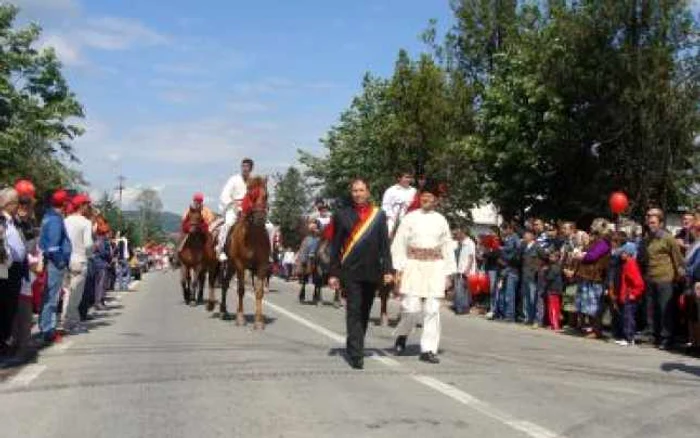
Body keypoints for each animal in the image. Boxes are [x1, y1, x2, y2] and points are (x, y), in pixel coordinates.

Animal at [221, 177, 270, 328]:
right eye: (250, 195)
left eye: (266, 195)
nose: (260, 217)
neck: (252, 238)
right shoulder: (240, 264)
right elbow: (241, 289)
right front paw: (240, 317)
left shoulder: (262, 265)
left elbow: (259, 292)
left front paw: (258, 321)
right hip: (231, 264)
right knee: (225, 283)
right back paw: (223, 311)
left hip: (232, 266)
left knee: (225, 283)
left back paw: (224, 311)